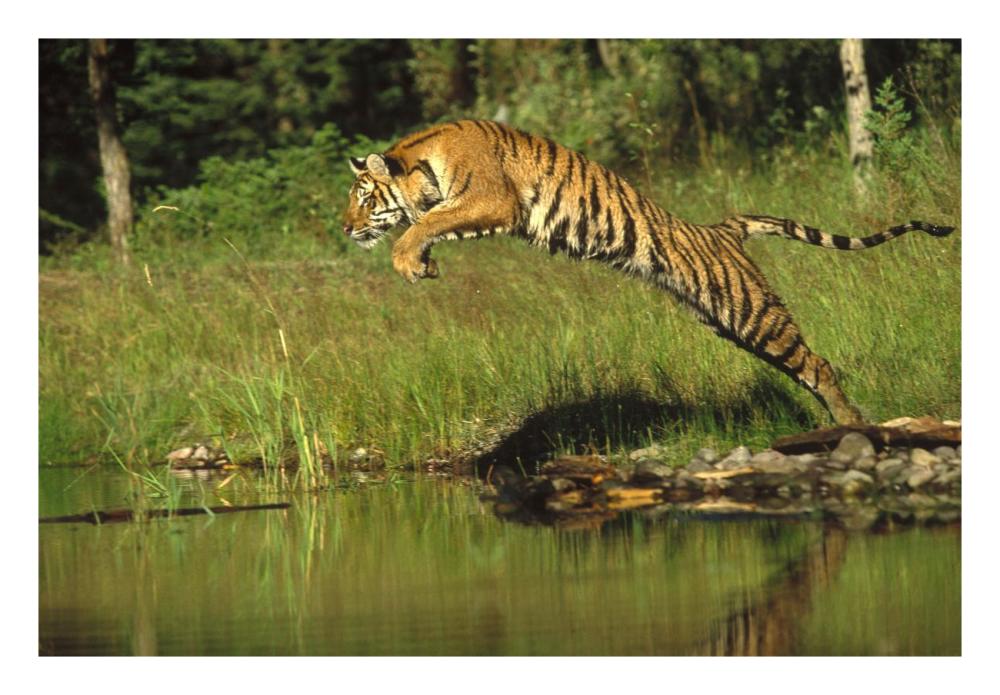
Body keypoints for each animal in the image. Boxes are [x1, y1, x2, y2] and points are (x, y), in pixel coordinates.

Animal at [341, 119, 954, 426]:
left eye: (363, 198)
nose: (345, 228)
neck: (422, 160)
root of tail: (722, 227)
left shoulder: (493, 198)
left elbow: (426, 222)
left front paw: (409, 260)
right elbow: (433, 223)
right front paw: (425, 263)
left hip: (753, 312)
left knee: (820, 365)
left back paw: (854, 426)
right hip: (731, 323)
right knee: (804, 367)